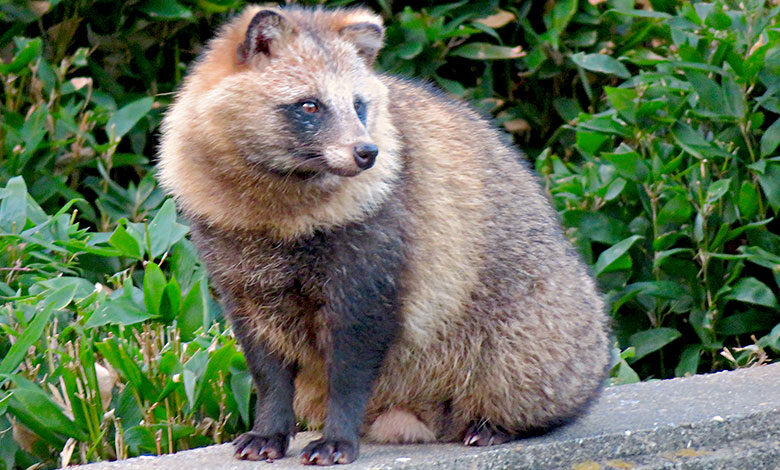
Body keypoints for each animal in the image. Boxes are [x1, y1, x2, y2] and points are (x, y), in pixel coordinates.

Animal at [157, 4, 608, 466]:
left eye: (358, 105)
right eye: (309, 105)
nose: (367, 152)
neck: (278, 206)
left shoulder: (375, 254)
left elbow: (352, 362)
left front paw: (338, 435)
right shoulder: (237, 271)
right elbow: (266, 364)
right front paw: (271, 426)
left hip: (534, 332)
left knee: (519, 373)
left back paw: (498, 422)